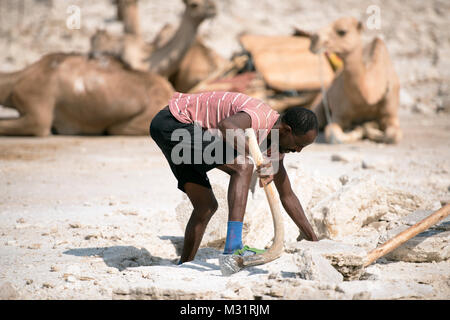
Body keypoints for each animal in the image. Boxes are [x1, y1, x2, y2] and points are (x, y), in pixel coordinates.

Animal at [310, 16, 400, 144]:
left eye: (342, 31)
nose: (313, 40)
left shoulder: (390, 115)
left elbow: (393, 136)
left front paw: (368, 129)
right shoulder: (339, 115)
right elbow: (334, 136)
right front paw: (359, 130)